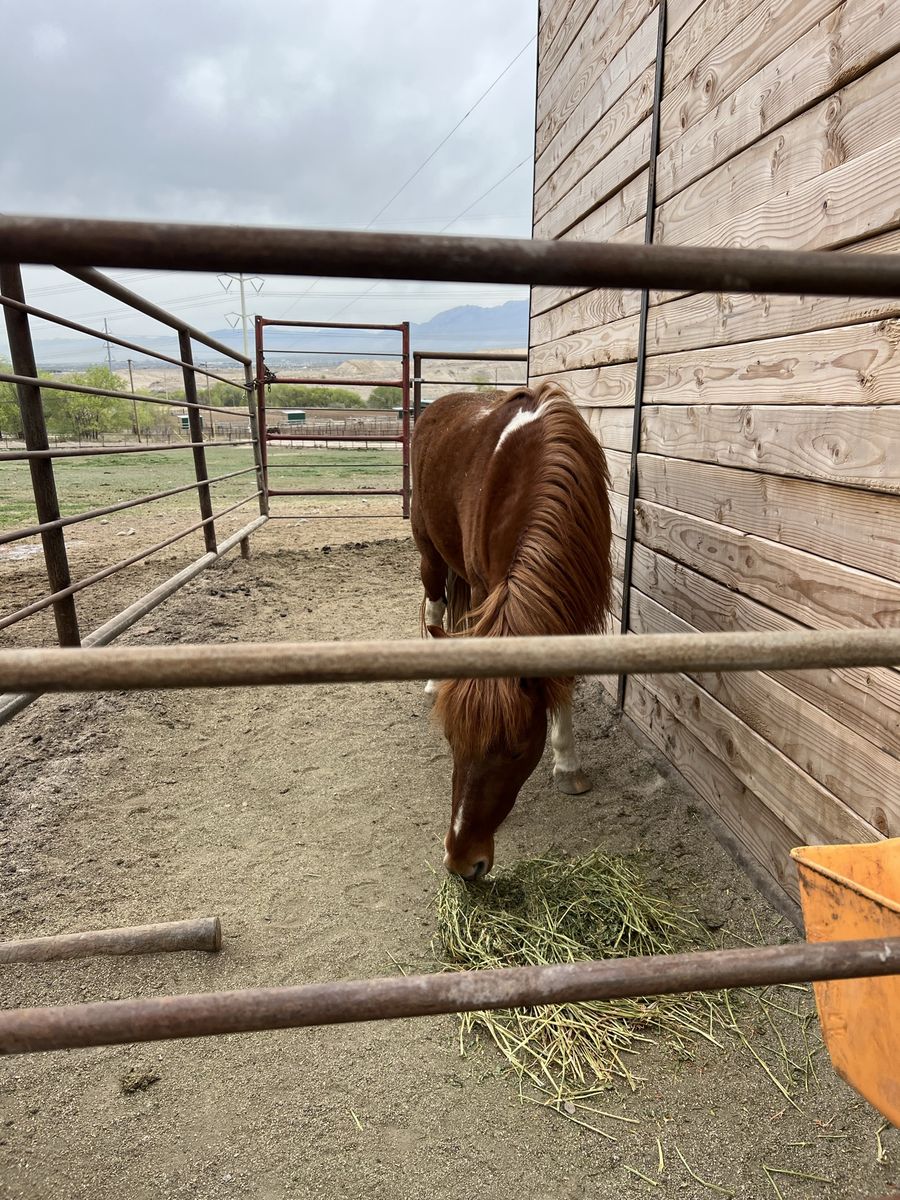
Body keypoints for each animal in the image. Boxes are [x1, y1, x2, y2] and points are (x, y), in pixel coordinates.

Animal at [410, 381, 613, 880]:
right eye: (450, 740)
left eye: (518, 751)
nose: (462, 862)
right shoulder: (486, 587)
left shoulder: (574, 608)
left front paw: (567, 766)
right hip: (429, 550)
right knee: (436, 607)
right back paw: (432, 680)